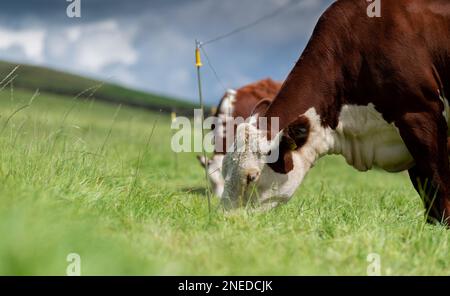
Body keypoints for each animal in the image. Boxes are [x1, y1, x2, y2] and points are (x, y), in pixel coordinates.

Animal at [221, 0, 450, 223]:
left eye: (251, 176)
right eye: (223, 169)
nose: (224, 220)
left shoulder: (420, 116)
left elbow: (439, 183)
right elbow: (426, 191)